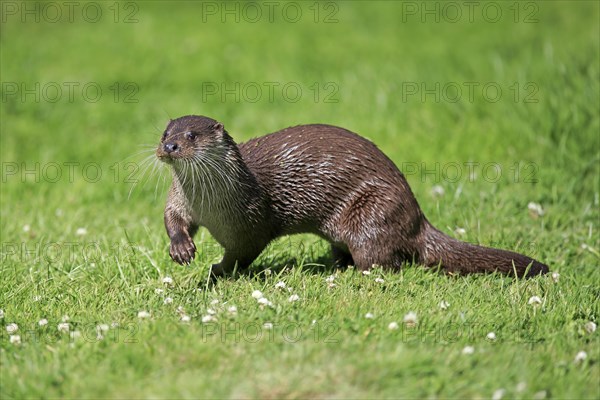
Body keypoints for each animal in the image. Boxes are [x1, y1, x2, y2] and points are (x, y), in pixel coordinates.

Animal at [156, 115, 548, 278]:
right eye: (165, 133)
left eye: (191, 135)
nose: (169, 146)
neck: (211, 206)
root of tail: (418, 217)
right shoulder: (180, 200)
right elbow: (172, 218)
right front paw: (182, 248)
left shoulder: (250, 222)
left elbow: (242, 253)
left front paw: (216, 272)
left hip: (373, 212)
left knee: (385, 262)